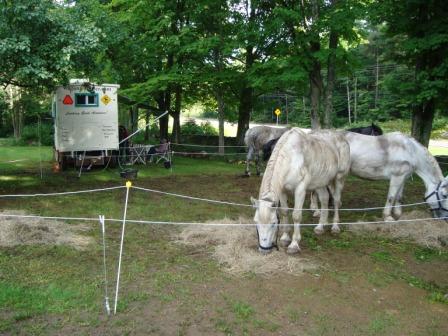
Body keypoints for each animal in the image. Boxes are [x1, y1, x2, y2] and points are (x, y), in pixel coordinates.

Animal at [310, 133, 448, 222]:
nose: (445, 218)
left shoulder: (403, 177)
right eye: (444, 195)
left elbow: (399, 197)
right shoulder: (396, 177)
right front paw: (387, 217)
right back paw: (316, 210)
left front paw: (398, 214)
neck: (410, 151)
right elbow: (391, 197)